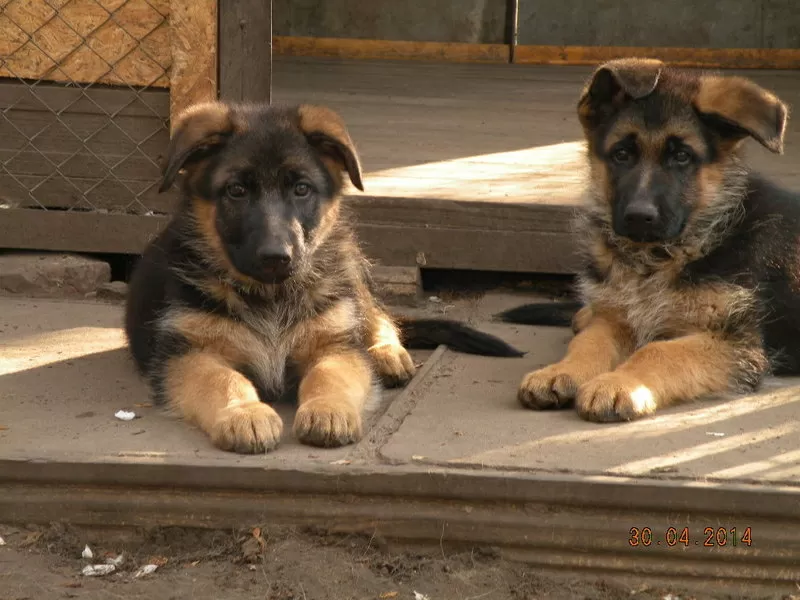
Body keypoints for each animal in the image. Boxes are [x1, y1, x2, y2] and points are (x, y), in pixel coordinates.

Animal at [123, 101, 524, 452]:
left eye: (302, 189)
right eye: (236, 191)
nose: (276, 257)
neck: (270, 296)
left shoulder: (335, 345)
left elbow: (329, 375)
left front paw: (328, 411)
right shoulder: (189, 355)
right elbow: (224, 380)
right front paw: (245, 414)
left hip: (349, 267)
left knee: (379, 316)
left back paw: (386, 354)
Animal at [496, 57, 796, 422]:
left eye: (682, 157)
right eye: (621, 154)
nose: (639, 216)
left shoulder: (736, 344)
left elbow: (659, 351)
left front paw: (618, 384)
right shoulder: (621, 318)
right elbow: (591, 342)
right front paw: (560, 370)